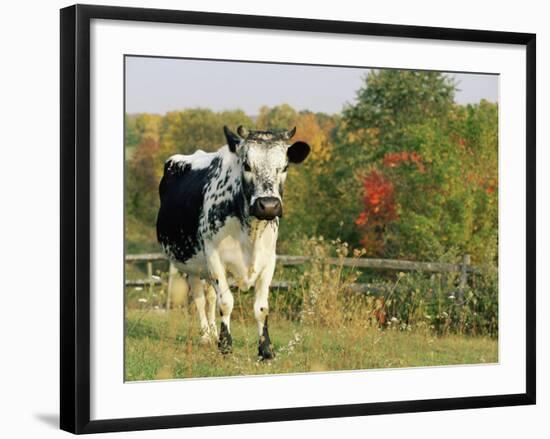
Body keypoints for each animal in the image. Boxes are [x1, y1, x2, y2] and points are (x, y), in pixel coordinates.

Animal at [156, 125, 310, 360]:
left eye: (284, 167)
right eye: (247, 165)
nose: (269, 205)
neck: (251, 232)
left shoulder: (269, 260)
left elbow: (261, 307)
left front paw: (266, 350)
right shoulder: (214, 256)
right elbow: (226, 302)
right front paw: (225, 345)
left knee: (210, 298)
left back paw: (212, 333)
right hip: (192, 265)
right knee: (200, 299)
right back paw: (206, 336)